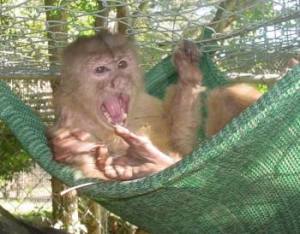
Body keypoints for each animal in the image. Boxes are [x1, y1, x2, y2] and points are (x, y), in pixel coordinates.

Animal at [47, 31, 262, 181]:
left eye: (122, 65)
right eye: (101, 69)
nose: (120, 81)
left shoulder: (146, 103)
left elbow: (183, 147)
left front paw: (188, 75)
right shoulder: (72, 122)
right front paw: (68, 148)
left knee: (226, 96)